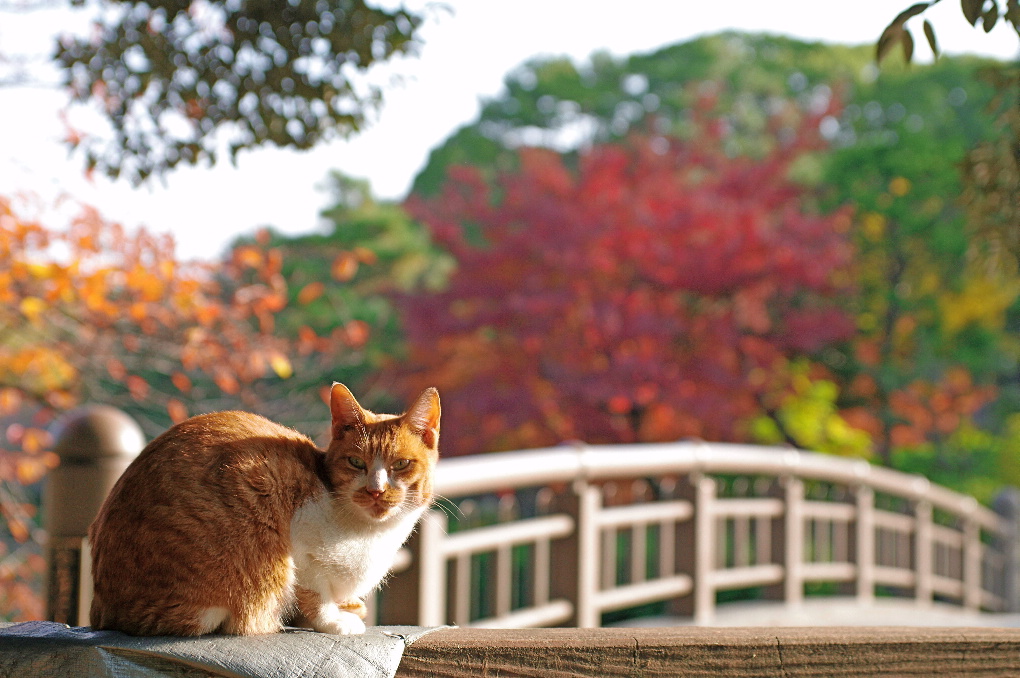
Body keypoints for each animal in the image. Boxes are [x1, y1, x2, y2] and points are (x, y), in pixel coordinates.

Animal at [87, 385, 438, 636]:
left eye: (401, 464)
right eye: (356, 462)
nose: (375, 490)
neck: (368, 532)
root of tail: (103, 610)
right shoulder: (301, 548)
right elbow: (317, 595)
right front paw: (334, 621)